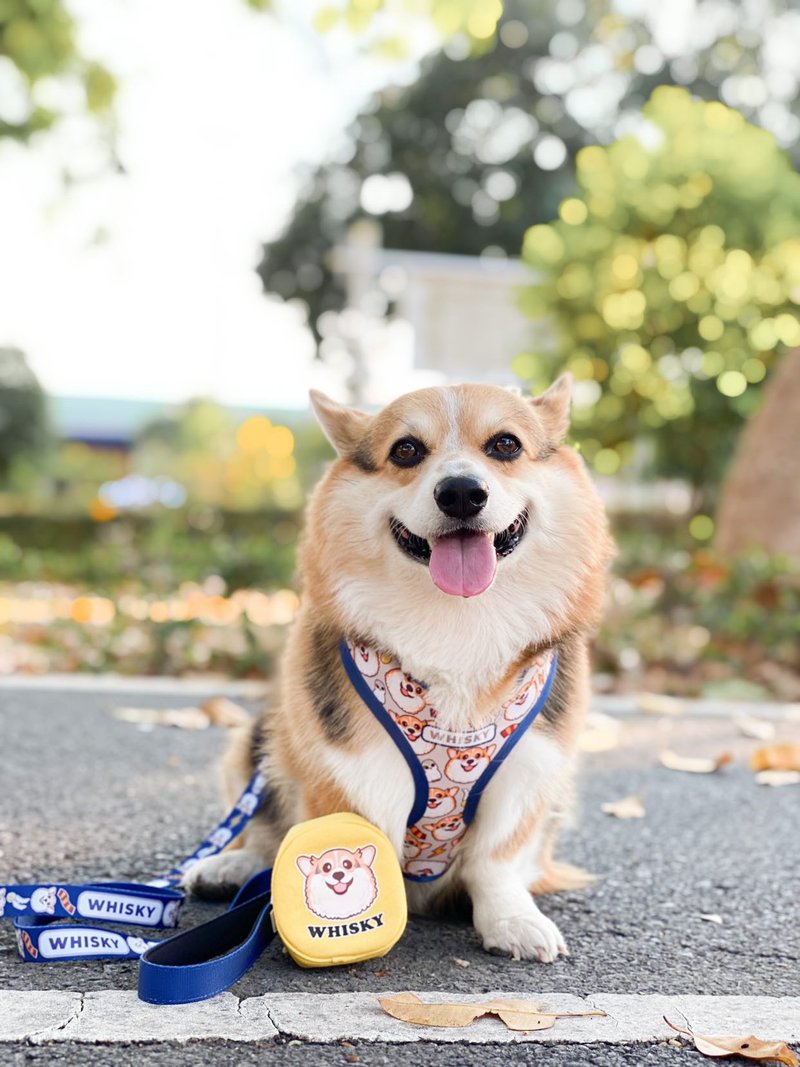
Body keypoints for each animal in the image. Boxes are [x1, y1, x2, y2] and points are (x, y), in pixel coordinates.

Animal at [186, 379, 614, 964]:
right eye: (406, 450)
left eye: (505, 444)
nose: (461, 493)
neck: (458, 621)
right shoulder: (348, 769)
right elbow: (343, 837)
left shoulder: (530, 769)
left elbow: (496, 860)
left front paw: (512, 920)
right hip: (256, 742)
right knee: (266, 833)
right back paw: (231, 865)